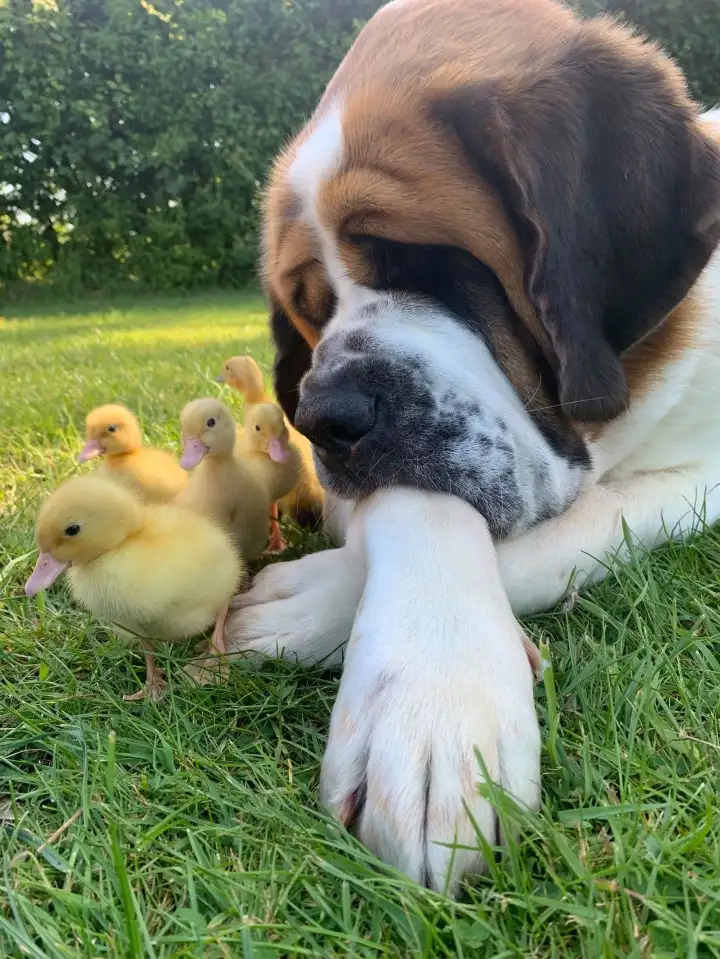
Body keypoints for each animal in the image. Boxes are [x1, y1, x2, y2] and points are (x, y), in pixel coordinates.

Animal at [225, 0, 720, 896]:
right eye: (309, 308)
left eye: (429, 263)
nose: (323, 416)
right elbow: (415, 507)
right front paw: (426, 689)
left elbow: (581, 528)